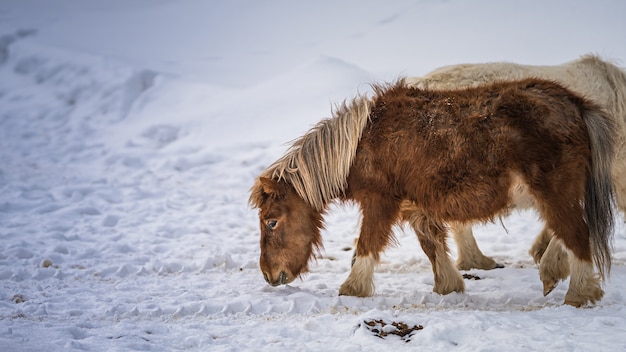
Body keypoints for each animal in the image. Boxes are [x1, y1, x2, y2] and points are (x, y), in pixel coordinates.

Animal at [249, 79, 616, 306]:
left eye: (271, 222)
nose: (269, 275)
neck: (360, 144)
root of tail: (574, 103)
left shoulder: (380, 202)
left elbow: (367, 244)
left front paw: (352, 289)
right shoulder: (415, 206)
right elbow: (432, 244)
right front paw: (448, 286)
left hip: (555, 193)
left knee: (577, 235)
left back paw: (578, 292)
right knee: (566, 233)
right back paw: (553, 271)